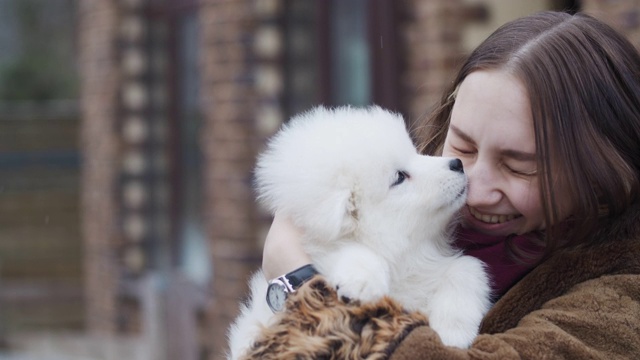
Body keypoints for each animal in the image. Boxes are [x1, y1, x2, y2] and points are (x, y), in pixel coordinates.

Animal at [228, 105, 492, 358]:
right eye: (399, 176)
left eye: (414, 153)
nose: (457, 164)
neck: (403, 256)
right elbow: (347, 250)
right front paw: (362, 282)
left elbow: (468, 267)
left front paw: (452, 332)